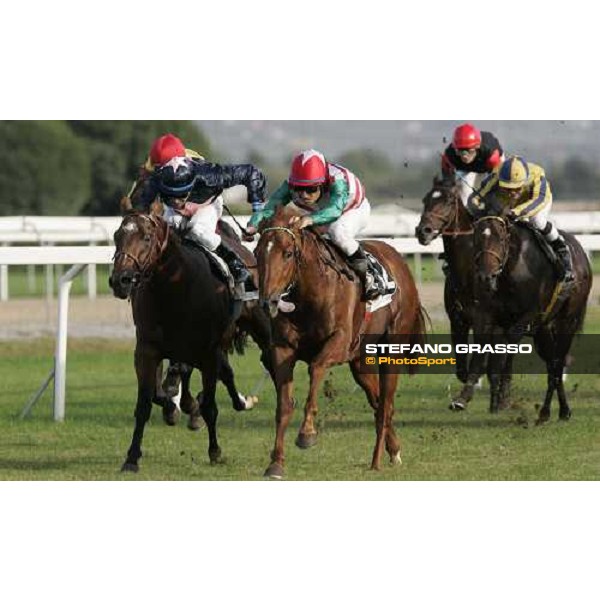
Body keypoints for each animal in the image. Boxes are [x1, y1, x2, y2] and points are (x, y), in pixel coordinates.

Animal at [256, 206, 426, 478]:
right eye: (257, 252)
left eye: (288, 253)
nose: (267, 302)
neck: (309, 295)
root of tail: (398, 260)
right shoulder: (282, 349)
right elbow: (283, 406)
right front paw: (276, 463)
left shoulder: (339, 342)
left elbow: (316, 368)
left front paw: (307, 433)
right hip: (360, 362)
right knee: (378, 401)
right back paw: (394, 450)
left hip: (391, 350)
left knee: (385, 404)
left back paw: (376, 460)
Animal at [472, 204, 592, 420]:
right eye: (476, 238)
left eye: (500, 239)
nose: (486, 276)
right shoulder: (491, 315)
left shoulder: (530, 315)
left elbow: (509, 343)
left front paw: (502, 396)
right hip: (544, 330)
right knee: (552, 363)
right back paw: (558, 410)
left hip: (567, 322)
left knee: (557, 363)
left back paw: (551, 411)